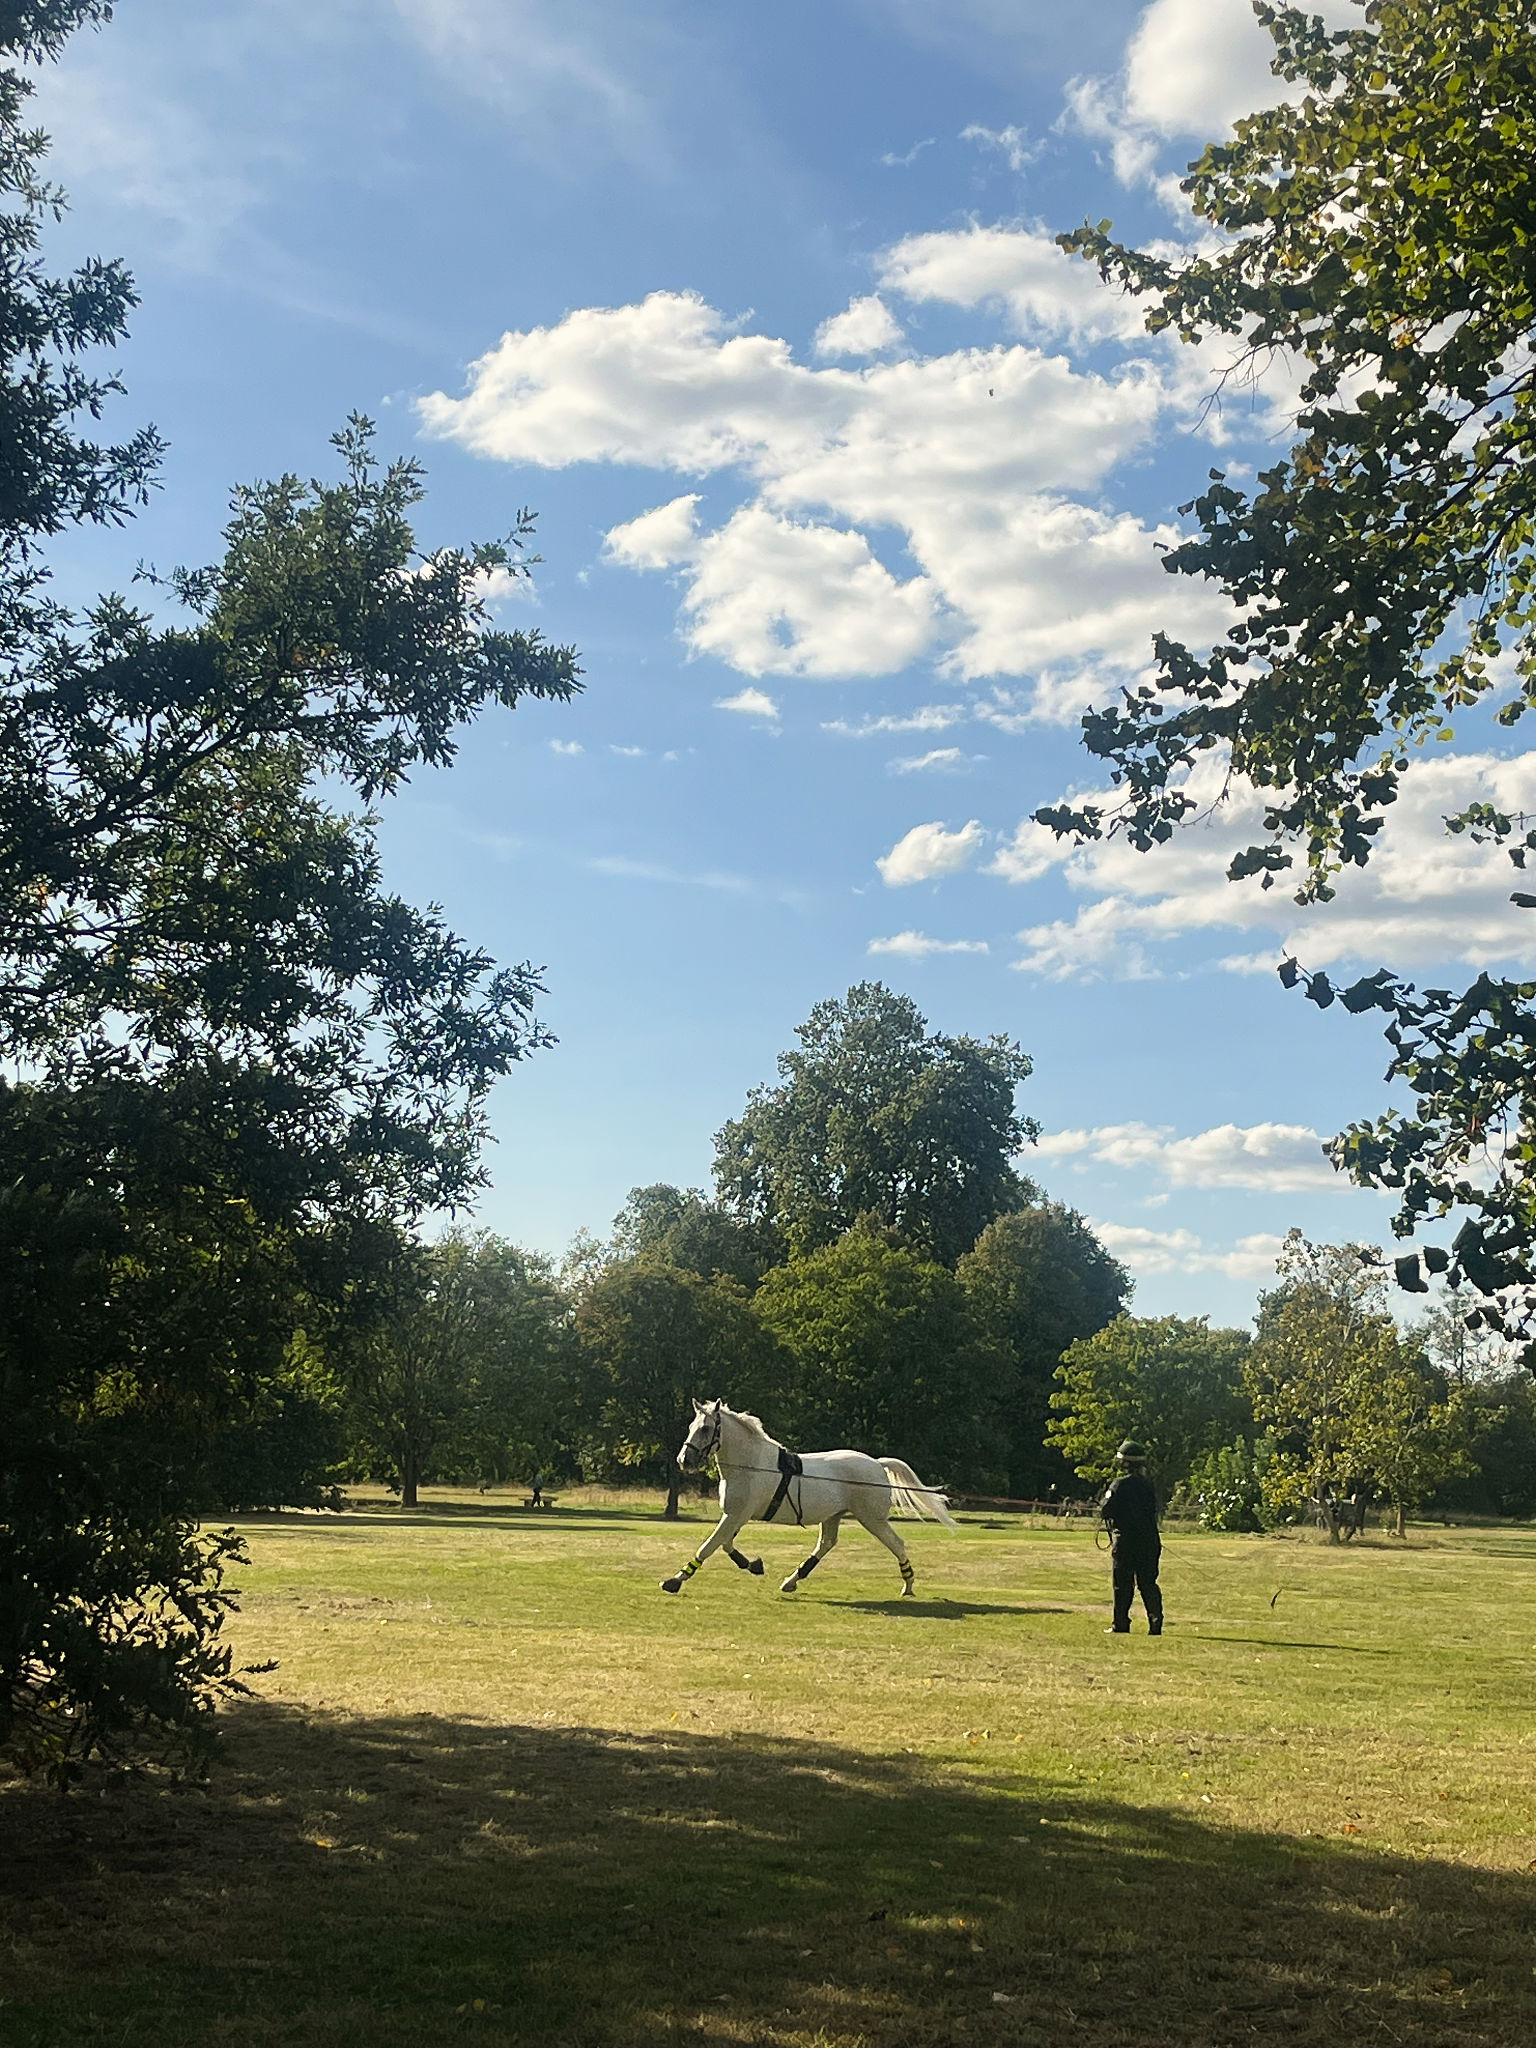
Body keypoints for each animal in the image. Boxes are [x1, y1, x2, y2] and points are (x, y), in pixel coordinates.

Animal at [660, 1398, 957, 1598]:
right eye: (691, 1425)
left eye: (706, 1428)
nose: (684, 1461)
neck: (750, 1465)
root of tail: (876, 1463)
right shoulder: (736, 1516)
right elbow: (725, 1544)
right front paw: (754, 1565)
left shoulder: (735, 1515)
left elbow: (709, 1546)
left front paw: (675, 1580)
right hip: (834, 1516)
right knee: (826, 1544)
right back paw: (792, 1580)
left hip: (872, 1519)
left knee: (896, 1543)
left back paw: (908, 1585)